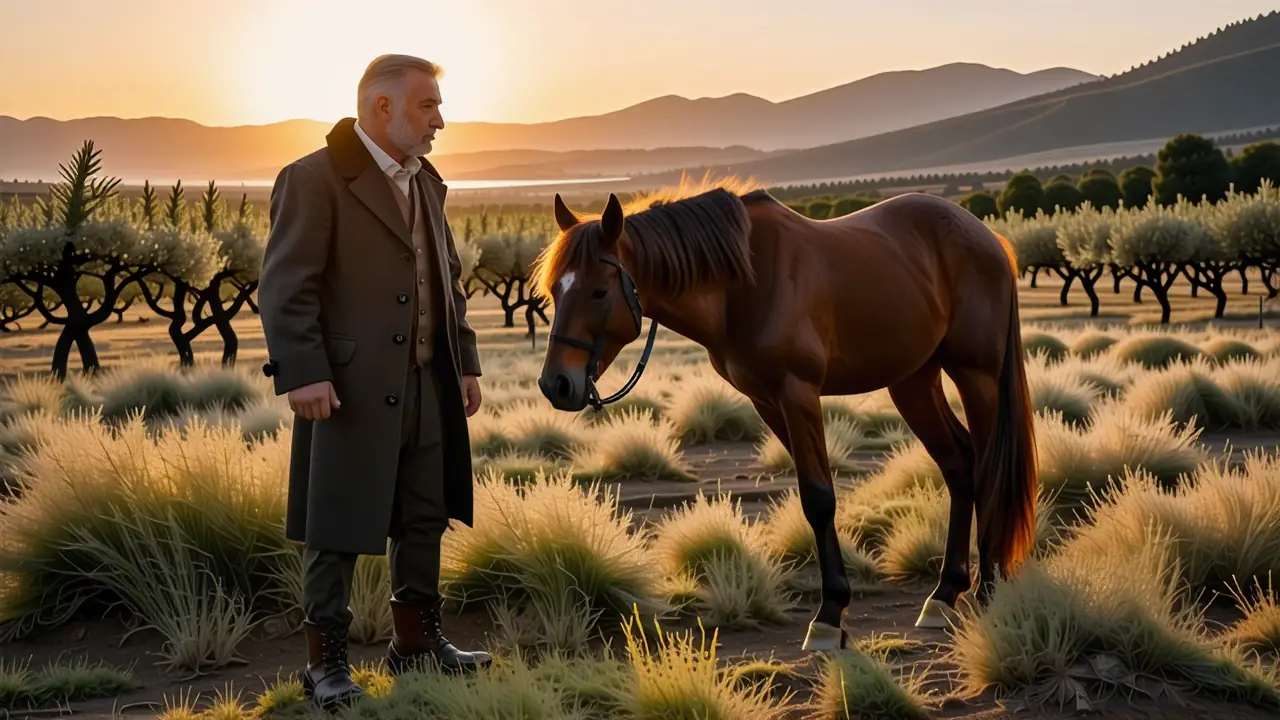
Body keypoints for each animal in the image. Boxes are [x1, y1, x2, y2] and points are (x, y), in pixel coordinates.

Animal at [529, 180, 1038, 651]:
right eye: (554, 290)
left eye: (599, 291)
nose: (557, 384)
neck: (744, 284)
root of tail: (988, 238)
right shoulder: (767, 401)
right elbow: (810, 495)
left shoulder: (798, 393)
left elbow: (819, 498)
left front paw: (830, 615)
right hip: (913, 382)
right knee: (960, 464)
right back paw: (946, 592)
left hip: (976, 376)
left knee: (990, 466)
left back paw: (991, 588)